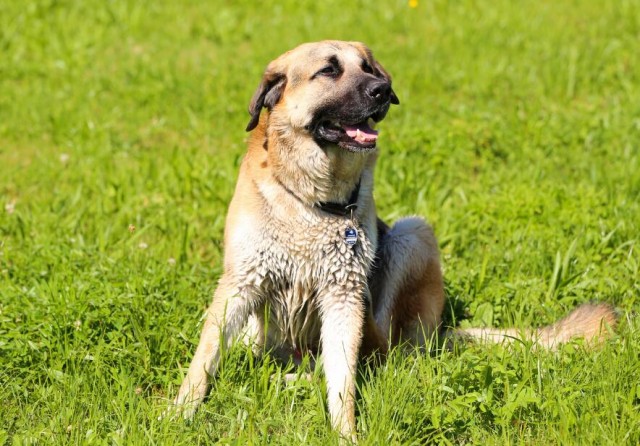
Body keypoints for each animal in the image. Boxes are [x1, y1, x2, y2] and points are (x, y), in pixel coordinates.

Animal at [172, 39, 616, 440]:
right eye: (329, 70)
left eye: (368, 68)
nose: (382, 89)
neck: (312, 199)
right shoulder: (240, 284)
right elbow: (205, 356)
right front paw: (179, 413)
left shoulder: (344, 294)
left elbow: (343, 385)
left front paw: (345, 433)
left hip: (412, 236)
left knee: (378, 355)